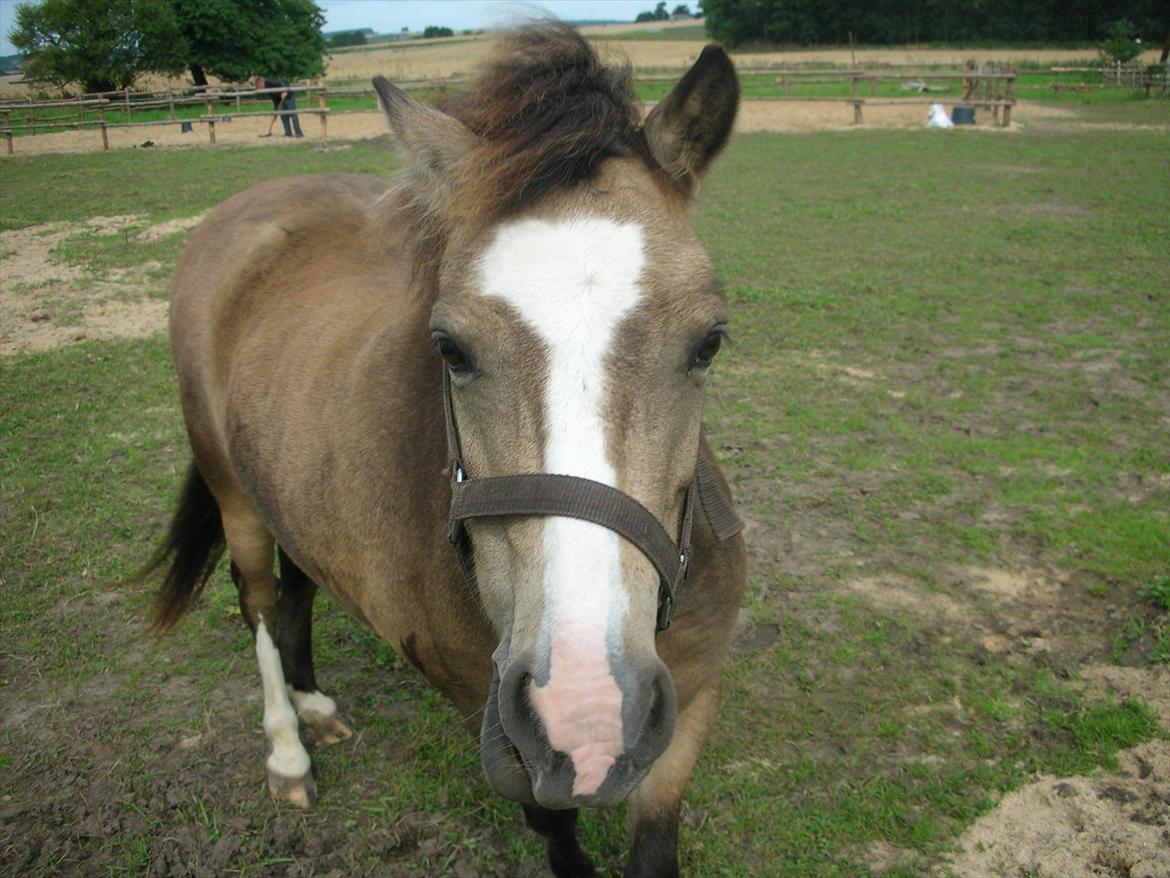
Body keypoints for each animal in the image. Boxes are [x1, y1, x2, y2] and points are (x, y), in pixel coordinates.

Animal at [147, 24, 746, 878]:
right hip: (235, 496)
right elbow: (556, 834)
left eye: (710, 341)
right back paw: (288, 751)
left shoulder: (691, 706)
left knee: (297, 590)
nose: (586, 708)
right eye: (450, 349)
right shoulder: (494, 724)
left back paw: (315, 704)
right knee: (258, 601)